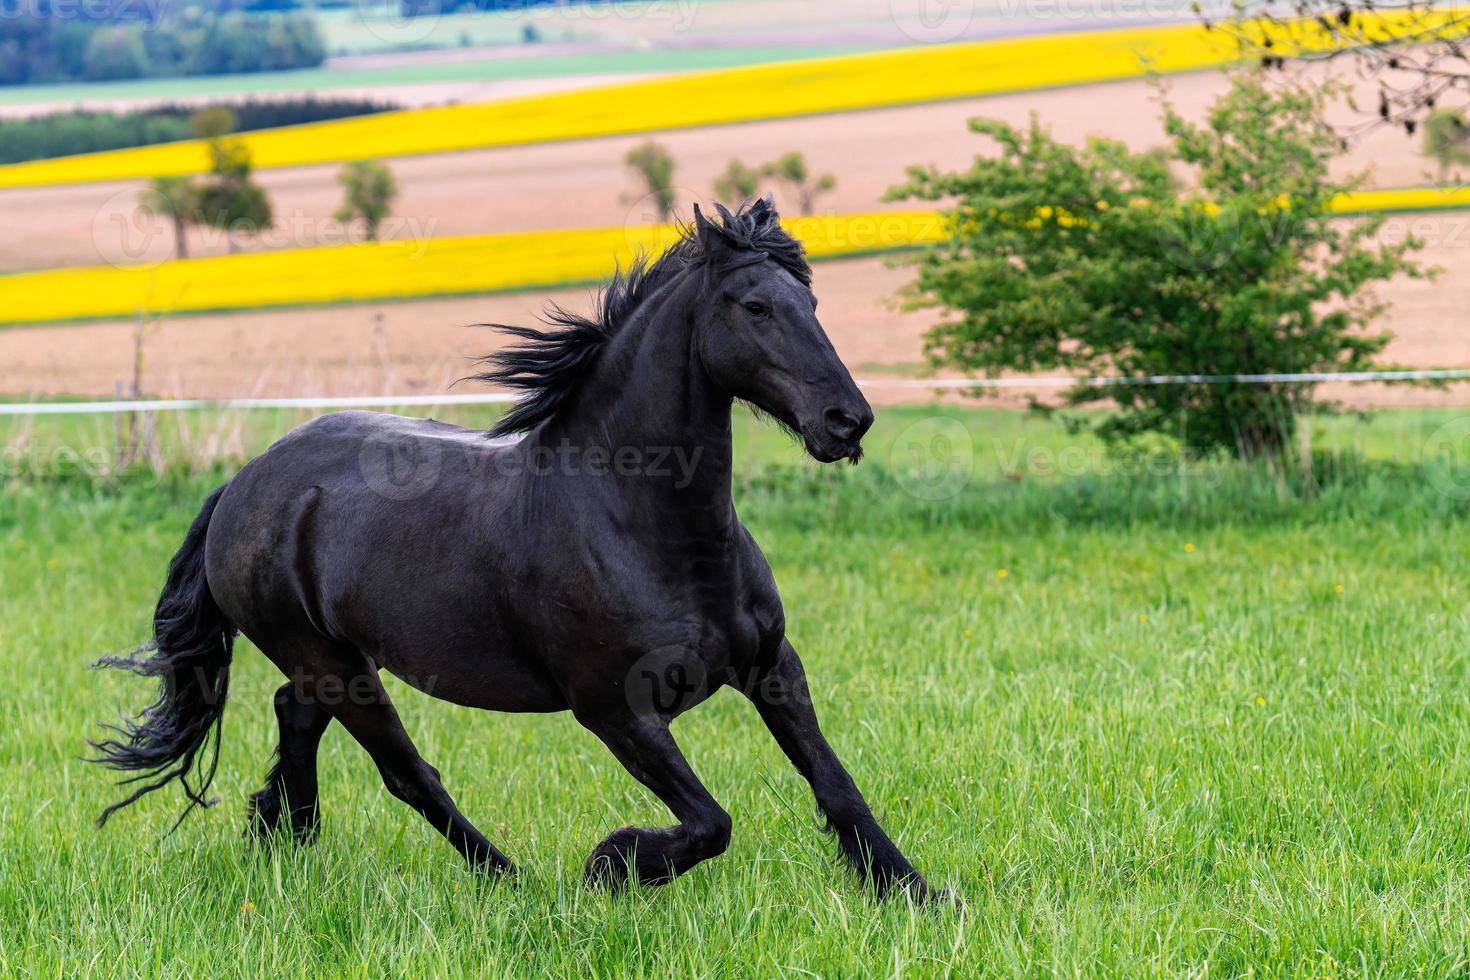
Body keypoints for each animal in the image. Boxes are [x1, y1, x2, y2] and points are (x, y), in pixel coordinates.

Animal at [91, 201, 934, 905]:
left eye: (812, 305)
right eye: (755, 307)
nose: (847, 421)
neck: (647, 528)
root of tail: (242, 483)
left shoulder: (772, 667)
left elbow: (835, 784)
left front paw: (917, 894)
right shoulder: (615, 709)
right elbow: (710, 821)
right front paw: (611, 863)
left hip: (330, 661)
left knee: (295, 718)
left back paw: (286, 844)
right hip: (336, 667)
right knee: (408, 773)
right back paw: (509, 879)